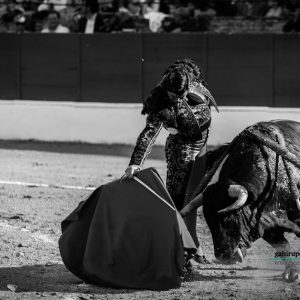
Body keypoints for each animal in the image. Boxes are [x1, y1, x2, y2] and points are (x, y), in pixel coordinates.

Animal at [180, 119, 300, 282]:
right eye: (208, 220)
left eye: (233, 215)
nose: (223, 256)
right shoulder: (266, 227)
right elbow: (283, 246)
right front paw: (291, 272)